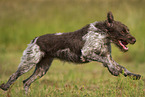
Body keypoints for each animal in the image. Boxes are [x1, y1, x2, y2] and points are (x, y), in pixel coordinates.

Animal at [0, 11, 140, 93]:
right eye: (122, 31)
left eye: (127, 30)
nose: (134, 40)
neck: (102, 34)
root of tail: (35, 39)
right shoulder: (87, 53)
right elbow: (108, 62)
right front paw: (114, 71)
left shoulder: (107, 56)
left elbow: (121, 67)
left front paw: (132, 75)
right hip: (29, 62)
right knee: (14, 75)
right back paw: (5, 87)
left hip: (42, 68)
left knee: (26, 82)